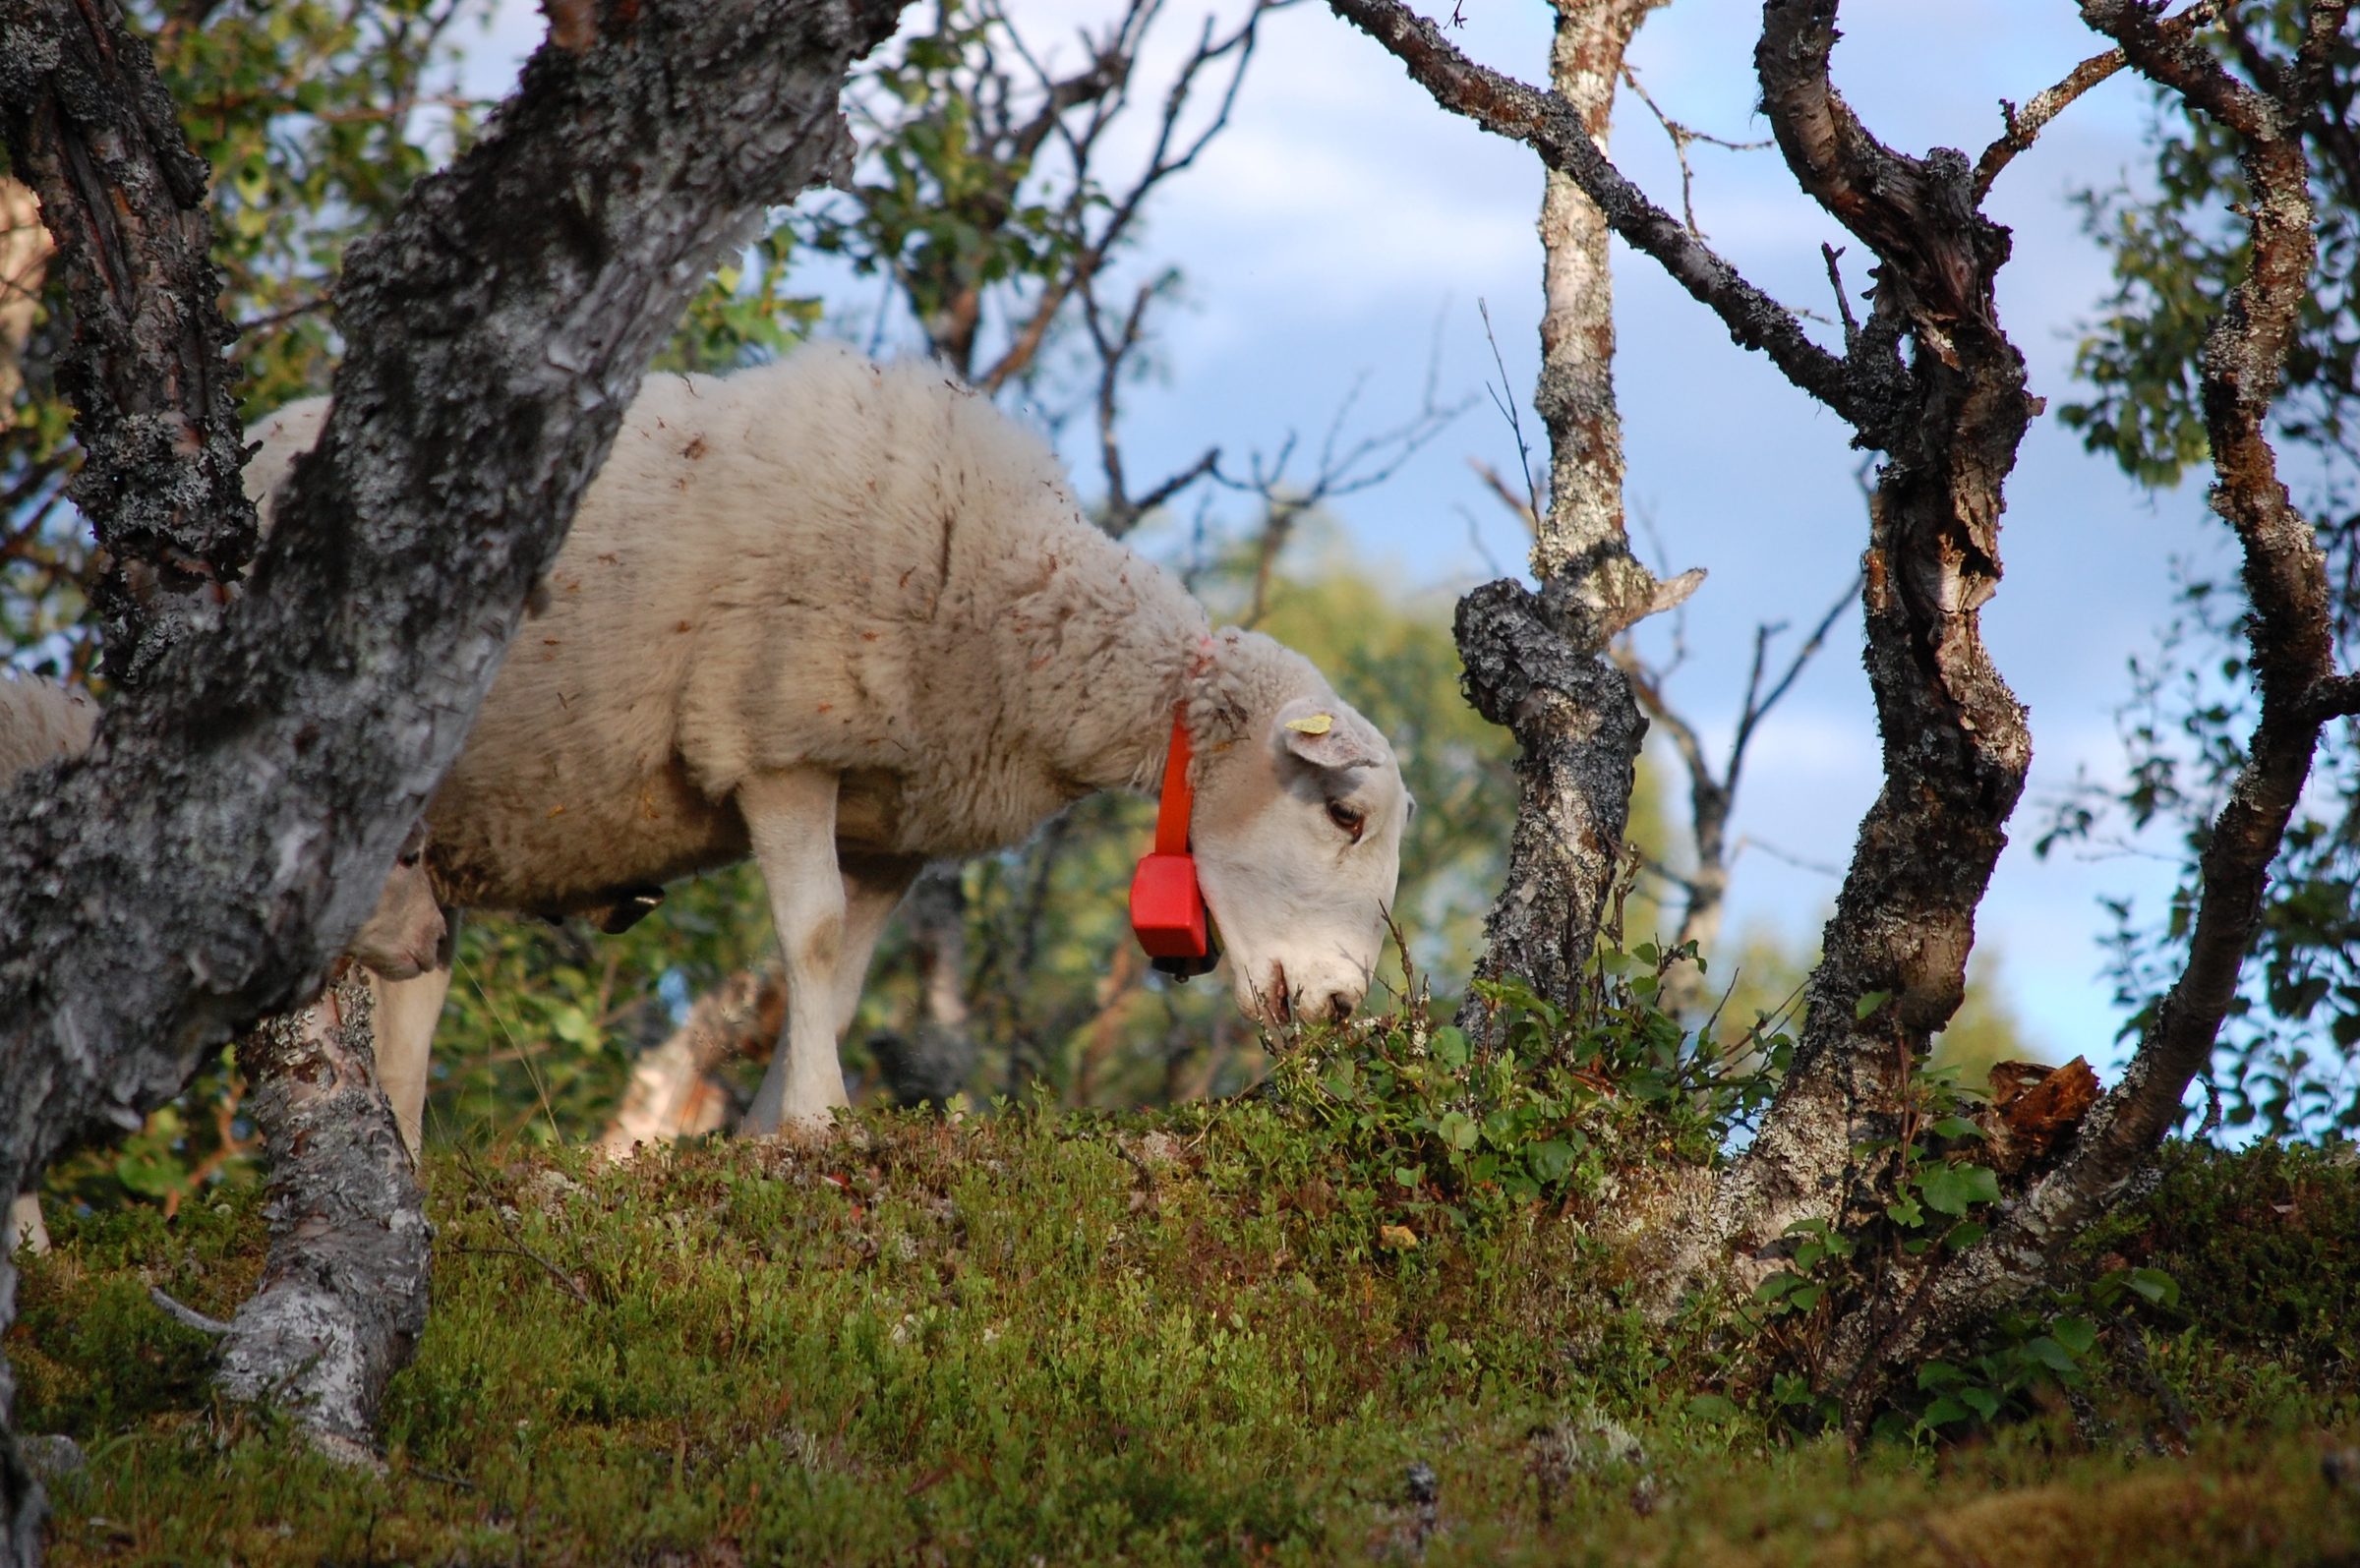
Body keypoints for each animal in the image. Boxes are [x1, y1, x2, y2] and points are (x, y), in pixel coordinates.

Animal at [245, 342, 1411, 1147]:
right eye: (1344, 812)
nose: (1343, 1008)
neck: (1012, 600)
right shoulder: (777, 736)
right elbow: (806, 935)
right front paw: (815, 1117)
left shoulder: (900, 823)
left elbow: (843, 975)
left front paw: (776, 1125)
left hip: (431, 851)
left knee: (413, 1000)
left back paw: (406, 1154)